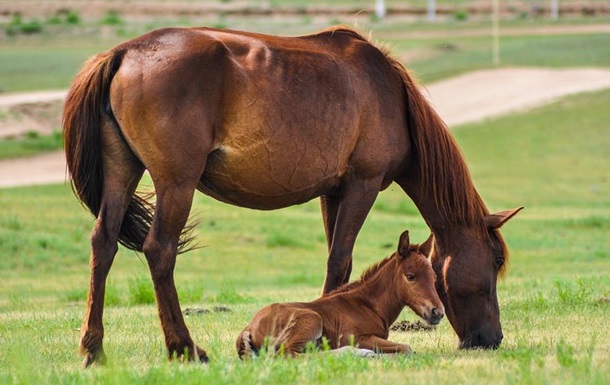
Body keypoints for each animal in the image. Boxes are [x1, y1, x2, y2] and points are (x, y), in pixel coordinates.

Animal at [234, 228, 442, 356]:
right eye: (411, 276)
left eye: (434, 277)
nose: (437, 312)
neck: (368, 306)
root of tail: (249, 328)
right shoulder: (356, 338)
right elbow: (406, 348)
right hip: (311, 320)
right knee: (289, 355)